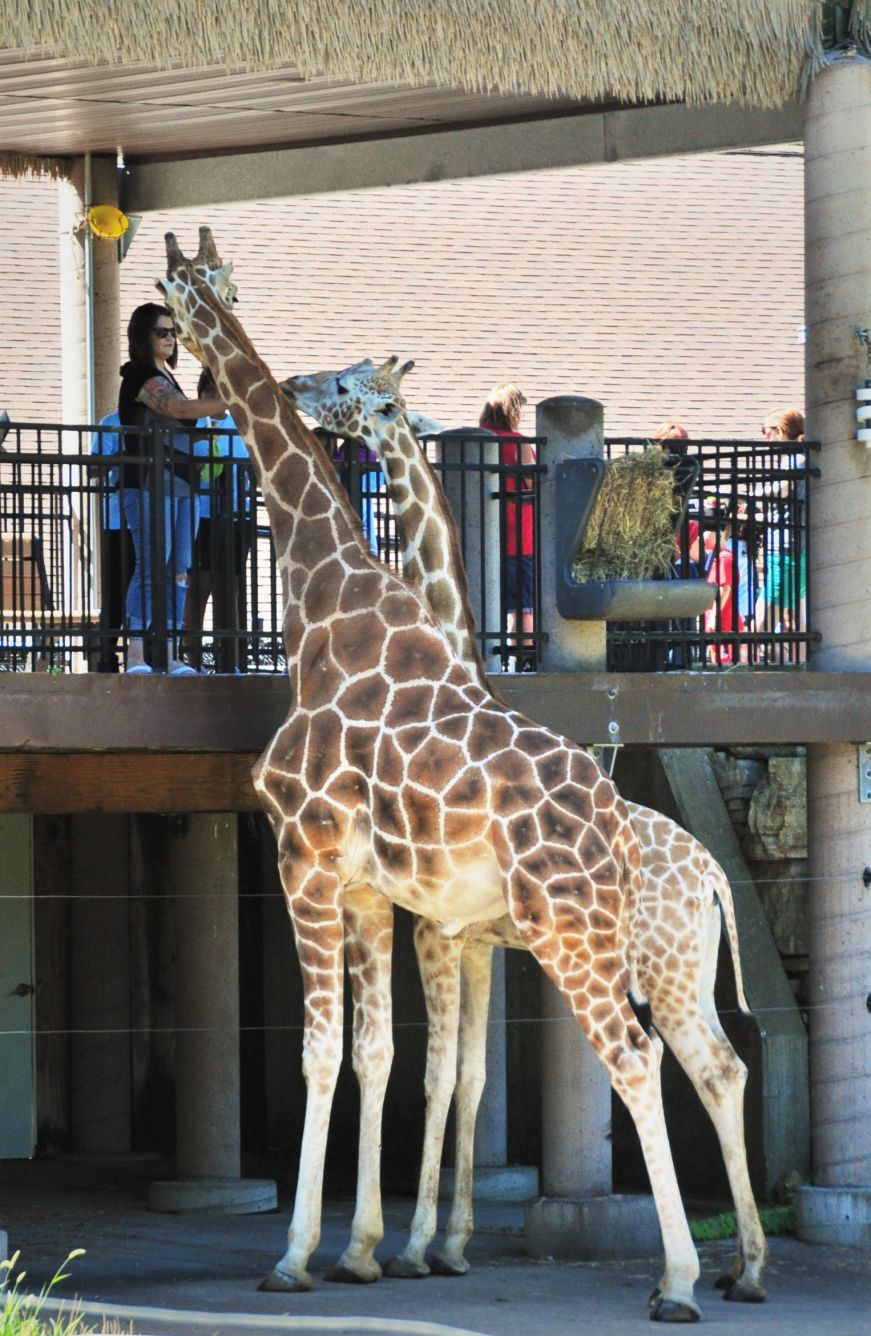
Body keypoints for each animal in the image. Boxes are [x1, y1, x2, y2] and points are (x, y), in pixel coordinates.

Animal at [159, 232, 705, 1325]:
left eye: (179, 295)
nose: (291, 379)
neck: (327, 604)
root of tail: (631, 836)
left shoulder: (311, 863)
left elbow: (336, 1054)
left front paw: (305, 1254)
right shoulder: (386, 897)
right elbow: (393, 1058)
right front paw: (372, 1247)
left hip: (574, 935)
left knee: (635, 1060)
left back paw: (680, 1281)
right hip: (588, 940)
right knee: (683, 1061)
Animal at [281, 355, 764, 1303]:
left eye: (359, 390)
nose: (299, 390)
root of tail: (713, 875)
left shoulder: (438, 931)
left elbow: (442, 1074)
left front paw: (409, 1246)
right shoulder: (474, 942)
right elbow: (466, 1076)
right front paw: (442, 1242)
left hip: (654, 972)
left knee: (681, 1066)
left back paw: (697, 1274)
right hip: (677, 974)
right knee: (722, 1067)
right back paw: (743, 1268)